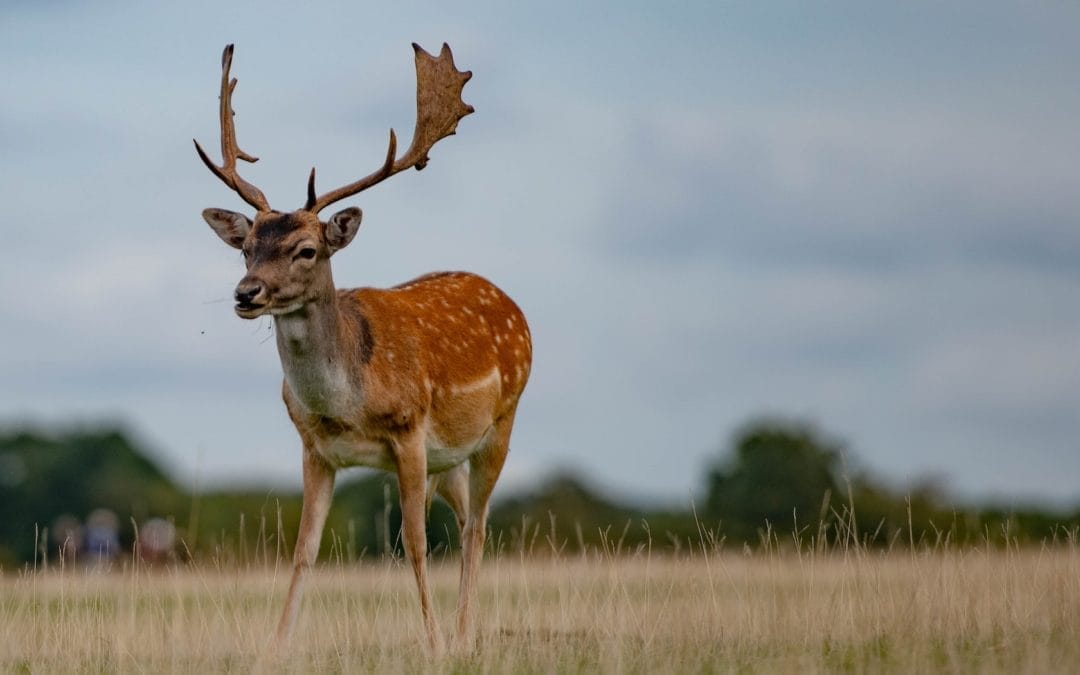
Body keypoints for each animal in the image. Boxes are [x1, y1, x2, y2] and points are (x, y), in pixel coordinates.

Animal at [194, 43, 531, 652]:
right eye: (246, 248)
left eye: (307, 250)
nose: (245, 293)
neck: (346, 403)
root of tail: (512, 304)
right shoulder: (315, 449)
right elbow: (303, 551)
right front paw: (277, 646)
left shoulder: (409, 431)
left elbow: (415, 544)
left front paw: (435, 643)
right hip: (450, 457)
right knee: (468, 520)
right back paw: (468, 628)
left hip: (501, 421)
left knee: (478, 525)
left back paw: (463, 633)